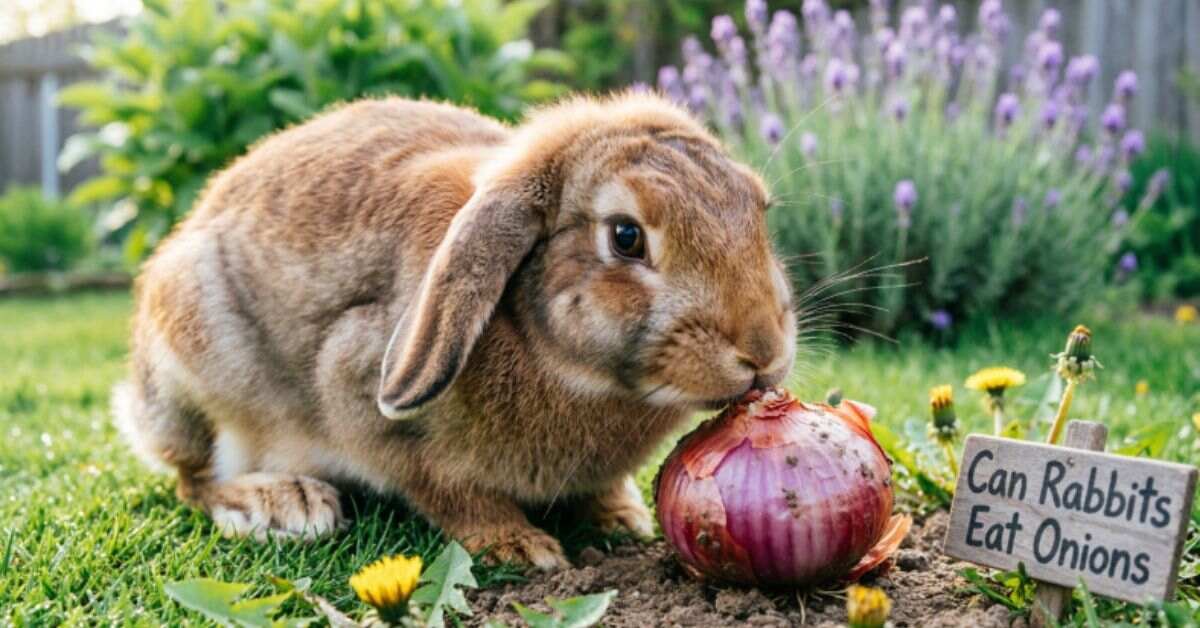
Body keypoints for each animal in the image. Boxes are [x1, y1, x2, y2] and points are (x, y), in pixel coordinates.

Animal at [112, 91, 797, 570]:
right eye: (626, 237)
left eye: (758, 209)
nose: (762, 351)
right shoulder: (364, 396)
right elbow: (447, 490)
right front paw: (519, 546)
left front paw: (621, 518)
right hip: (200, 370)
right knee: (193, 476)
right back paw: (282, 504)